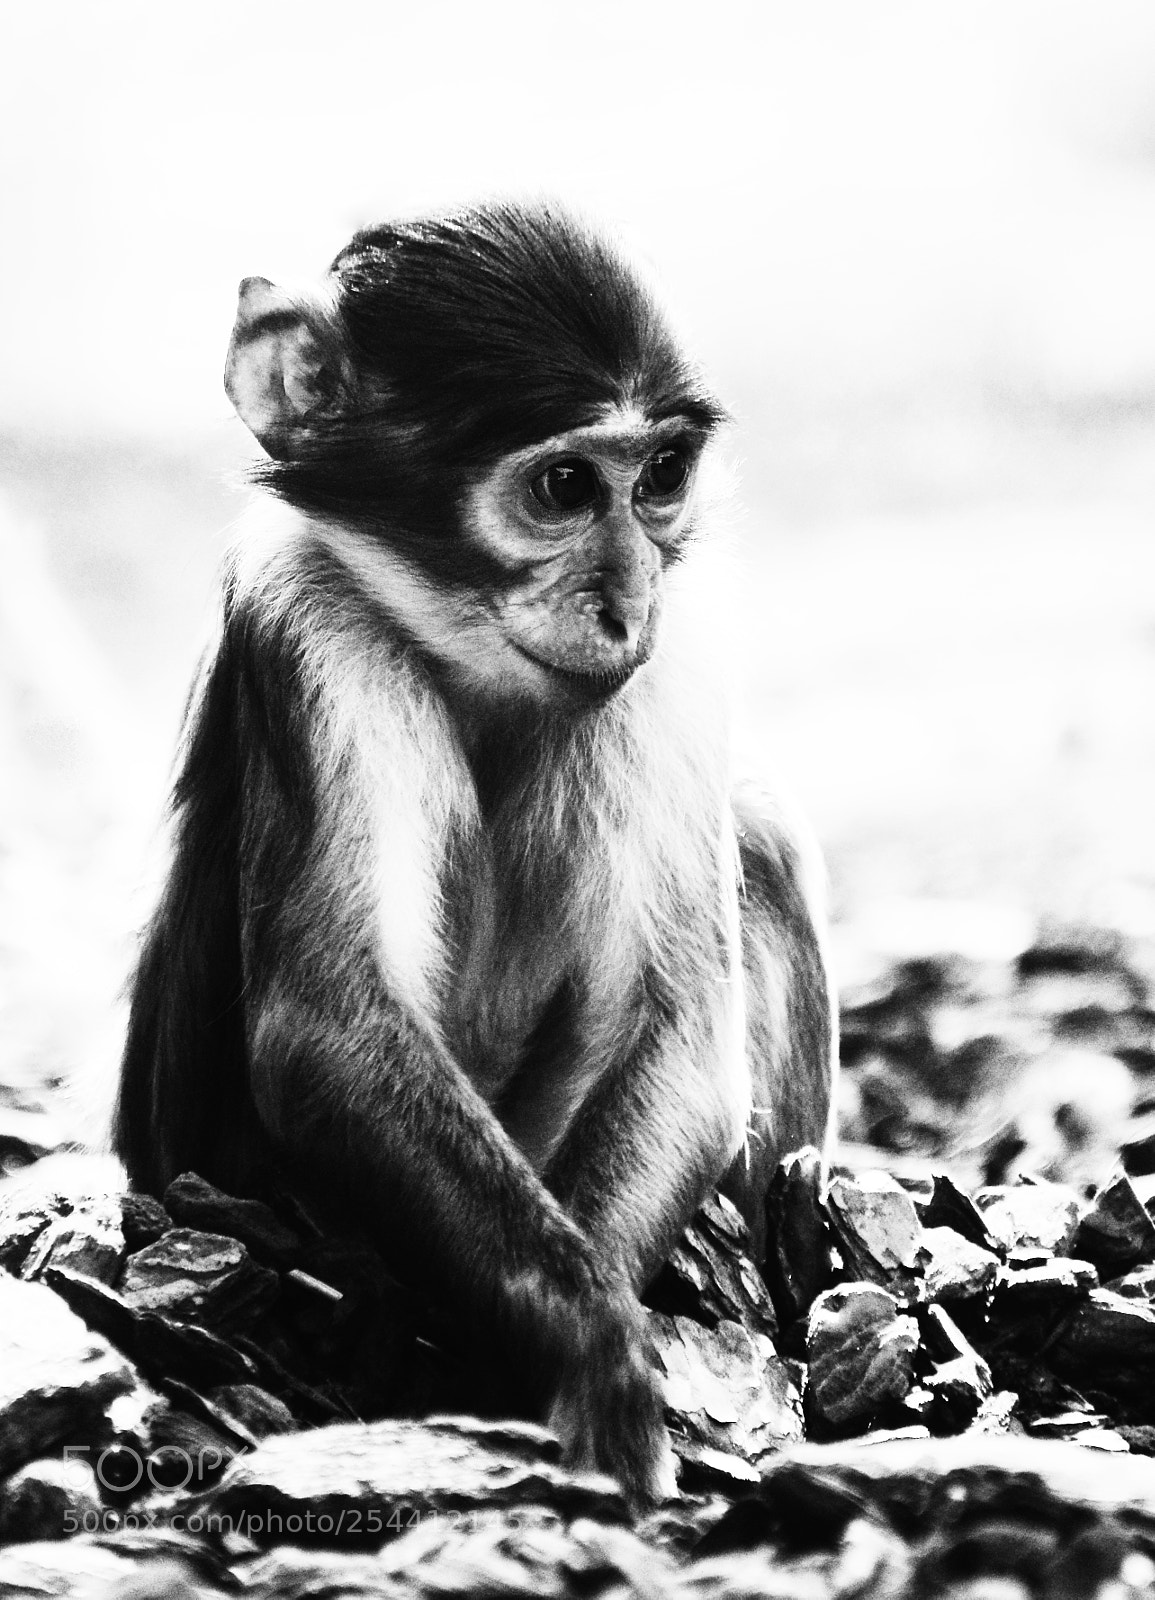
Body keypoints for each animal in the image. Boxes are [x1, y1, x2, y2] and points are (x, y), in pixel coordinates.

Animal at [114, 202, 834, 1505]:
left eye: (659, 478)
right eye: (562, 486)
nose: (626, 599)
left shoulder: (683, 640)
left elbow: (683, 1032)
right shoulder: (307, 613)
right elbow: (331, 1028)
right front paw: (592, 1353)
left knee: (748, 831)